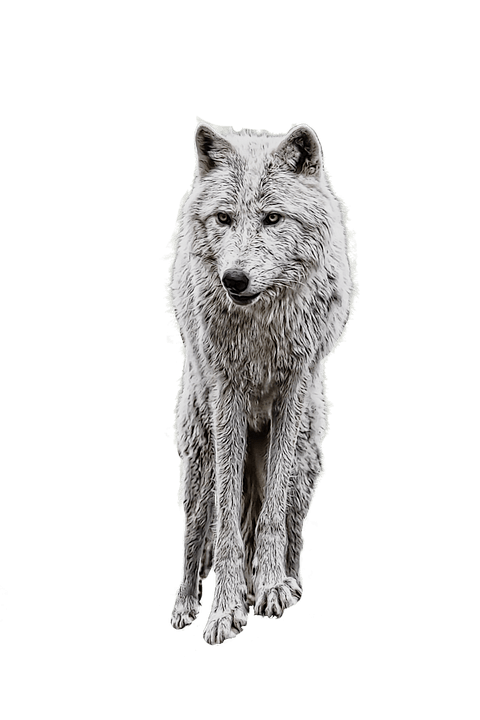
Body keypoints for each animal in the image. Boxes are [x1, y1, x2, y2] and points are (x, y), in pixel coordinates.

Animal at [167, 120, 356, 645]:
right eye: (224, 218)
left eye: (273, 218)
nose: (234, 279)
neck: (261, 327)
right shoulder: (227, 397)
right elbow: (229, 528)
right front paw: (225, 610)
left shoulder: (292, 392)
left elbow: (270, 513)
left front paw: (270, 587)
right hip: (200, 455)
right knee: (196, 529)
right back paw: (186, 604)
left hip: (307, 455)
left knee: (289, 520)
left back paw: (286, 581)